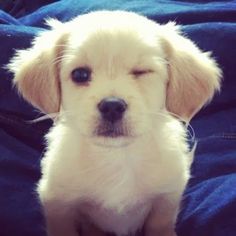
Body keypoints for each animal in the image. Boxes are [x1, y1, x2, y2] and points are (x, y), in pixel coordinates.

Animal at [7, 10, 221, 236]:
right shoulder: (58, 203)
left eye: (141, 72)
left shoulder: (166, 198)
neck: (117, 157)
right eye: (80, 74)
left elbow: (160, 224)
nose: (111, 106)